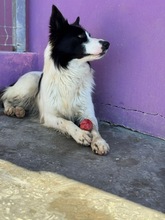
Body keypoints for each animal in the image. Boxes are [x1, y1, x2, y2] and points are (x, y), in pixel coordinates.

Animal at [1, 3, 110, 155]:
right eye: (80, 37)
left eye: (90, 36)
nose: (107, 44)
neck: (70, 72)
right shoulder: (50, 116)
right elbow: (66, 122)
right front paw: (80, 134)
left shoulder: (88, 112)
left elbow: (94, 128)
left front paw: (99, 142)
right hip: (28, 85)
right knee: (5, 96)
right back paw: (11, 109)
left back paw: (19, 110)